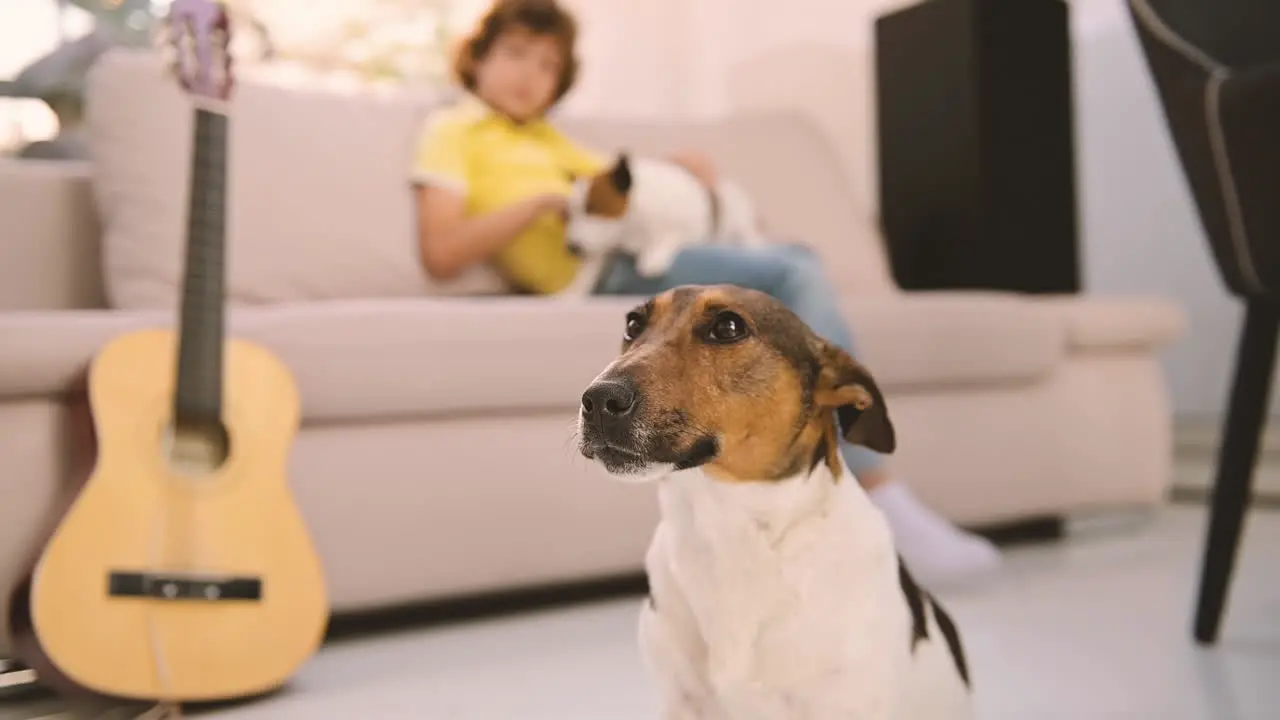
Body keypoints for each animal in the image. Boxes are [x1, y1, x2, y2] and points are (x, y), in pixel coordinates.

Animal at [563, 154, 762, 294]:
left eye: (592, 208)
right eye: (570, 214)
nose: (572, 248)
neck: (631, 226)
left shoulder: (685, 229)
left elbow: (667, 238)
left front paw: (653, 259)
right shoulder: (605, 247)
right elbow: (589, 270)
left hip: (740, 225)